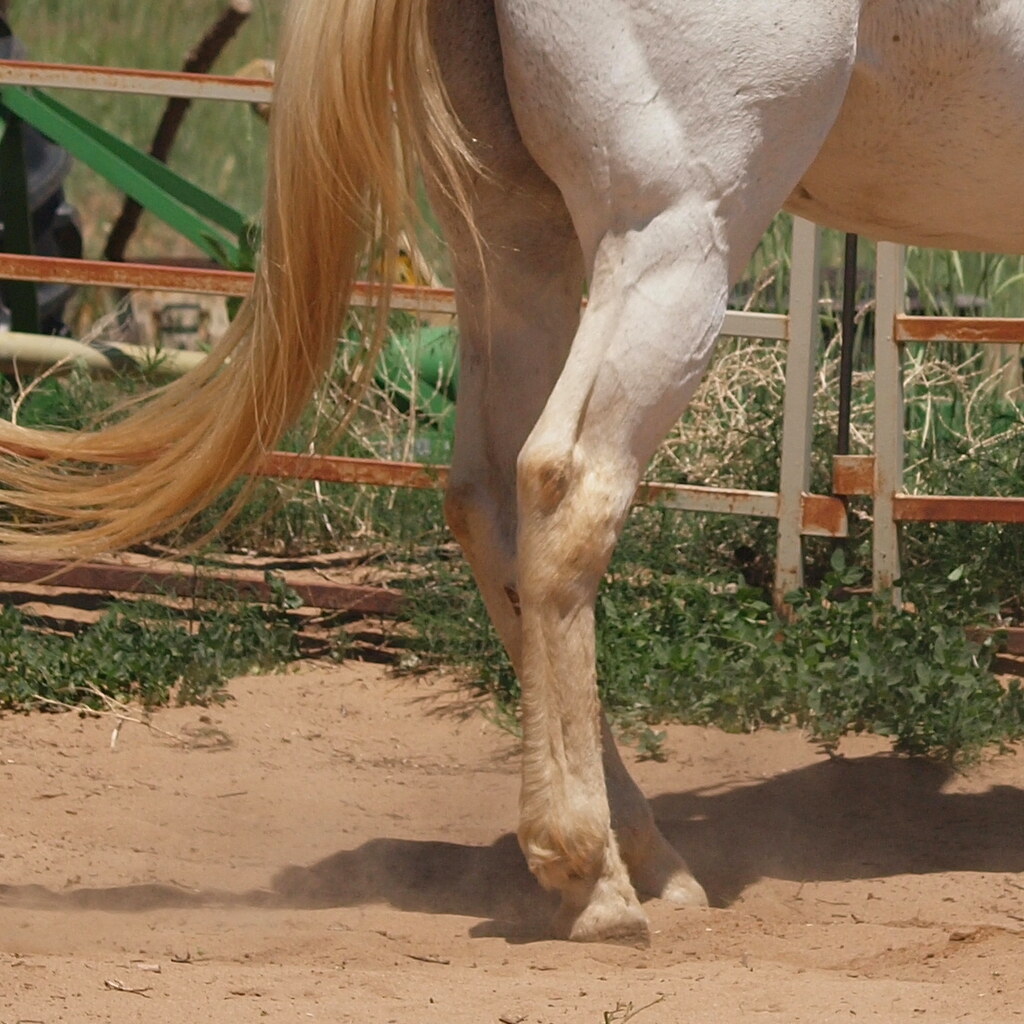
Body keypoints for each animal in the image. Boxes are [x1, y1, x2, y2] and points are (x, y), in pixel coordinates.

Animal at [1, 0, 1022, 944]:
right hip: (674, 236)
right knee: (566, 485)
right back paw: (591, 875)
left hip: (517, 234)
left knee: (487, 499)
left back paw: (639, 859)